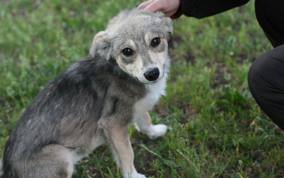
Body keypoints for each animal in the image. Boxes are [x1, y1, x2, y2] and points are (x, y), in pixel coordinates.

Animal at [1, 9, 173, 178]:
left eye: (155, 41)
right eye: (127, 51)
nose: (152, 74)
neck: (124, 73)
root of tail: (7, 170)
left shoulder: (136, 108)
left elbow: (145, 121)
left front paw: (154, 132)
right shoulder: (113, 123)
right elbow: (127, 154)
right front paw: (133, 175)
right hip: (60, 155)